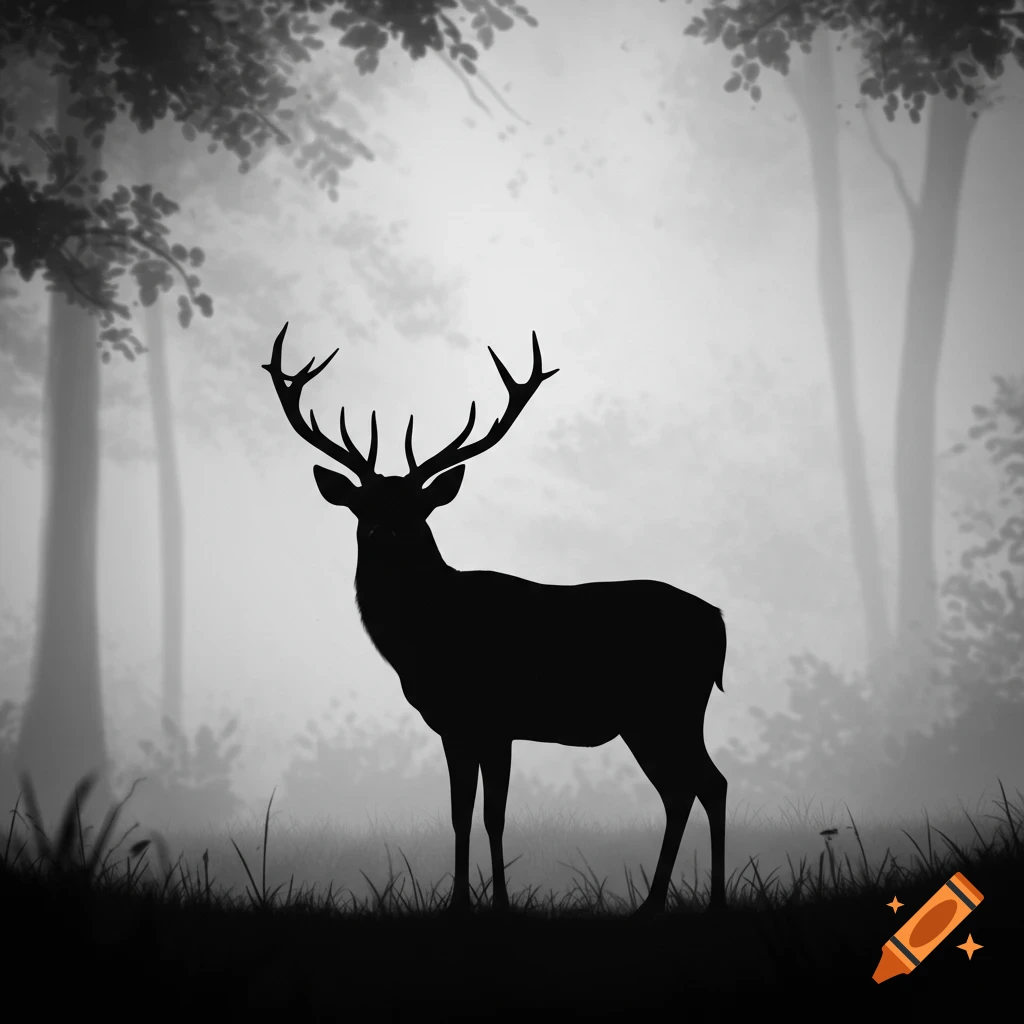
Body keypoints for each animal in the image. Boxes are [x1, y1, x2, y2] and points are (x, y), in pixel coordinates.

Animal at [264, 323, 728, 916]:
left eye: (416, 508)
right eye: (361, 505)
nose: (383, 534)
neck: (426, 639)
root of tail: (718, 621)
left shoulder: (496, 717)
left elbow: (494, 816)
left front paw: (501, 903)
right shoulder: (454, 725)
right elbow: (461, 815)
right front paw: (459, 903)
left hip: (670, 706)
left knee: (706, 785)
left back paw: (705, 902)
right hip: (652, 717)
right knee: (684, 790)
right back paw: (654, 904)